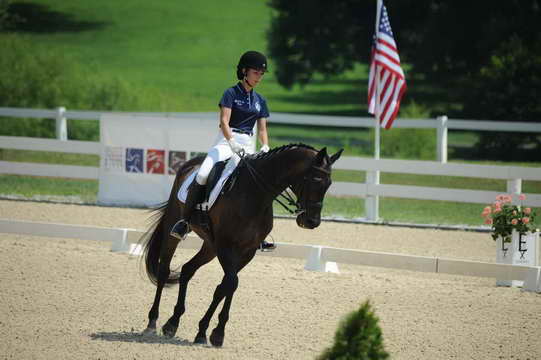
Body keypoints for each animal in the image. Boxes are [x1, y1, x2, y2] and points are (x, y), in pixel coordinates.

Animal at [139, 143, 342, 346]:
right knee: (164, 270)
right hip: (175, 227)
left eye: (329, 184)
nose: (311, 222)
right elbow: (231, 282)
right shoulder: (225, 247)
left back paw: (172, 323)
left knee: (188, 269)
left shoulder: (247, 250)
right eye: (315, 180)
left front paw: (208, 332)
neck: (255, 193)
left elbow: (225, 286)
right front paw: (213, 333)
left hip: (210, 247)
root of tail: (189, 164)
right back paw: (152, 323)